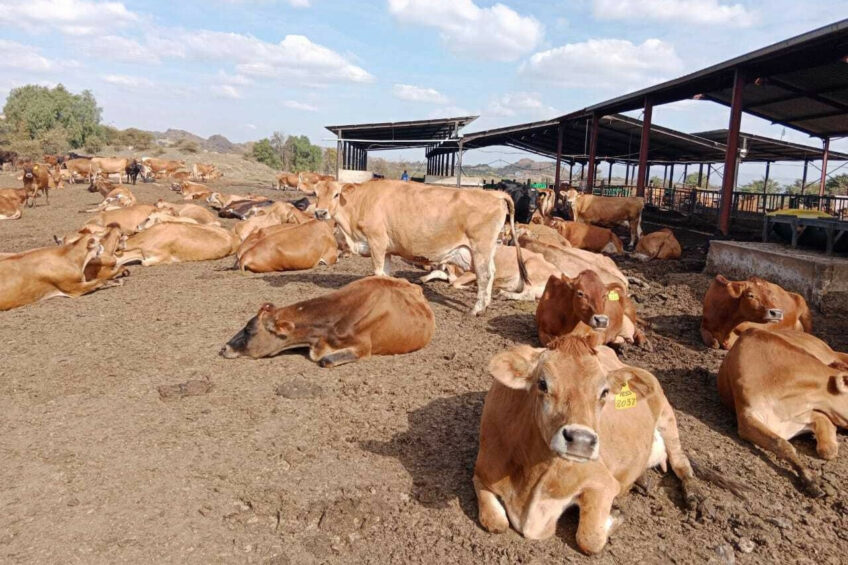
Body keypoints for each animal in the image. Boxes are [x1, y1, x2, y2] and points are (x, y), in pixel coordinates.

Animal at [312, 178, 524, 316]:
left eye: (336, 194)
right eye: (315, 194)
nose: (320, 212)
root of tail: (493, 194)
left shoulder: (376, 242)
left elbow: (378, 272)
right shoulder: (387, 249)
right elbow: (386, 274)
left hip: (480, 248)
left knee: (484, 275)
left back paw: (477, 309)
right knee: (490, 273)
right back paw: (485, 305)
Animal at [474, 338, 704, 552]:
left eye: (604, 392)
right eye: (542, 384)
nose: (581, 440)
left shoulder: (601, 482)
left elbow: (589, 538)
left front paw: (616, 515)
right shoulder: (482, 471)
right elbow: (496, 521)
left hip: (668, 418)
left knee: (680, 462)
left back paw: (693, 497)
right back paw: (642, 480)